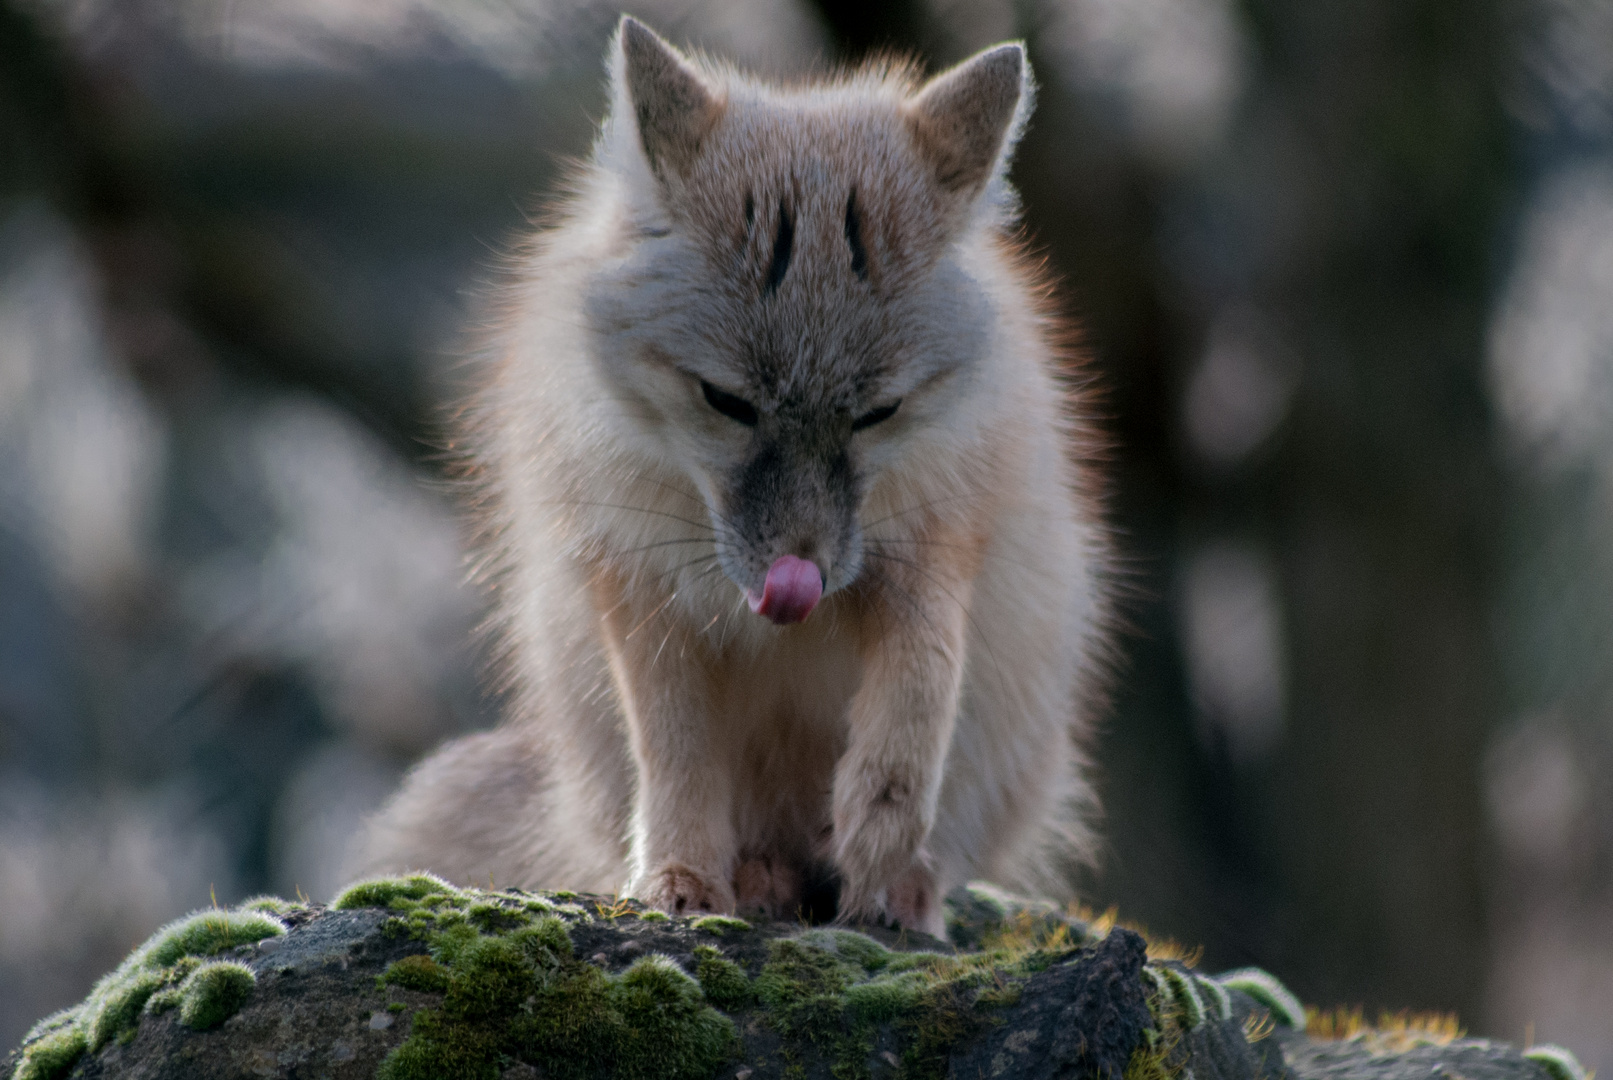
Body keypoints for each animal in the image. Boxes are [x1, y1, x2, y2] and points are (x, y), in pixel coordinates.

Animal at [356, 14, 1109, 941]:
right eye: (727, 401)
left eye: (878, 412)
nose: (801, 571)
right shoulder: (637, 588)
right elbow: (675, 755)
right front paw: (679, 879)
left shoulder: (936, 544)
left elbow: (921, 683)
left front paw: (882, 819)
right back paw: (756, 876)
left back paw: (895, 887)